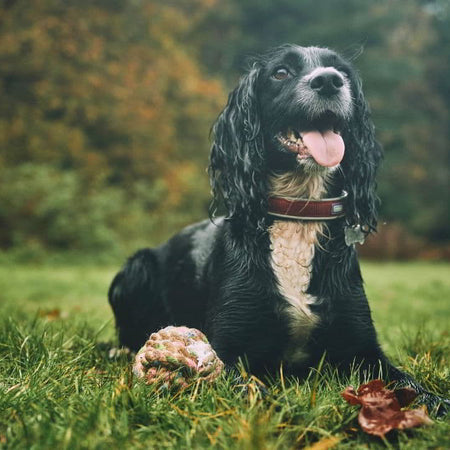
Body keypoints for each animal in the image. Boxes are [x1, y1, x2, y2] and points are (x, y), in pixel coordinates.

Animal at [108, 44, 446, 414]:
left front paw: (434, 402)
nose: (329, 81)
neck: (298, 212)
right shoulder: (225, 349)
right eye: (281, 73)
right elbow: (246, 386)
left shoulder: (363, 349)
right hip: (137, 267)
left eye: (341, 71)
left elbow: (408, 383)